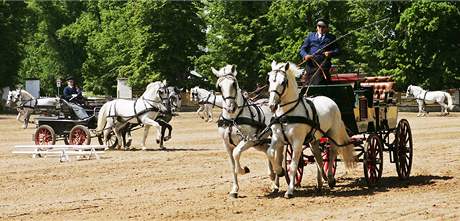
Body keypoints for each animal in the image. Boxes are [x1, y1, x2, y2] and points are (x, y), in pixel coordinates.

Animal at [210, 64, 278, 198]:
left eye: (234, 83)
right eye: (219, 86)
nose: (230, 108)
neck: (232, 119)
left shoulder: (248, 140)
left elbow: (236, 154)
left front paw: (243, 170)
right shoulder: (227, 145)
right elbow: (232, 165)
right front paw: (234, 190)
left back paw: (277, 181)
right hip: (260, 142)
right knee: (268, 151)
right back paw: (272, 177)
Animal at [266, 60, 356, 199]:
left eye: (283, 82)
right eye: (269, 80)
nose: (272, 106)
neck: (287, 113)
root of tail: (330, 100)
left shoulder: (297, 142)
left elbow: (293, 166)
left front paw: (289, 191)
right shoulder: (277, 138)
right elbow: (271, 154)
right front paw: (278, 173)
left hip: (333, 134)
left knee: (332, 154)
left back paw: (330, 178)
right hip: (314, 140)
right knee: (319, 157)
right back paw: (320, 182)